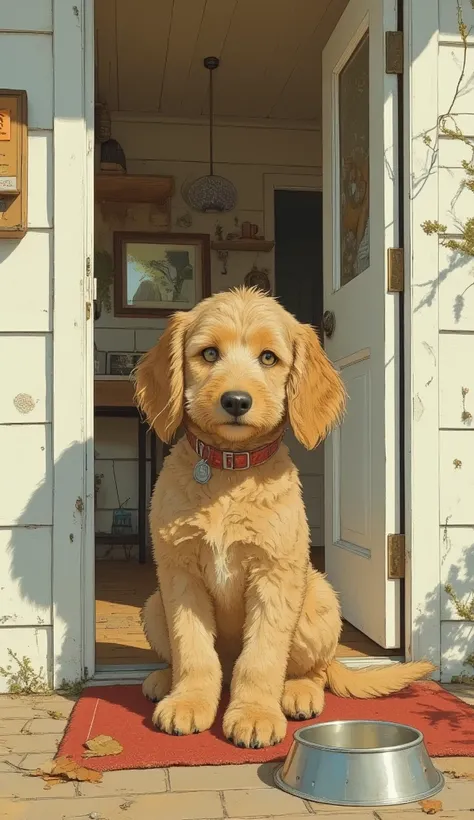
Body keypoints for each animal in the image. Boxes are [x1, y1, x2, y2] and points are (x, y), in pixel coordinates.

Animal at [135, 288, 436, 748]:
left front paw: (255, 713)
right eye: (208, 353)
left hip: (319, 601)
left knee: (314, 670)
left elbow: (260, 657)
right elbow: (193, 649)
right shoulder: (179, 575)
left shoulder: (274, 574)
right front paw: (188, 701)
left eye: (269, 358)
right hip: (154, 605)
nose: (236, 401)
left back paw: (297, 692)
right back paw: (164, 680)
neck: (230, 470)